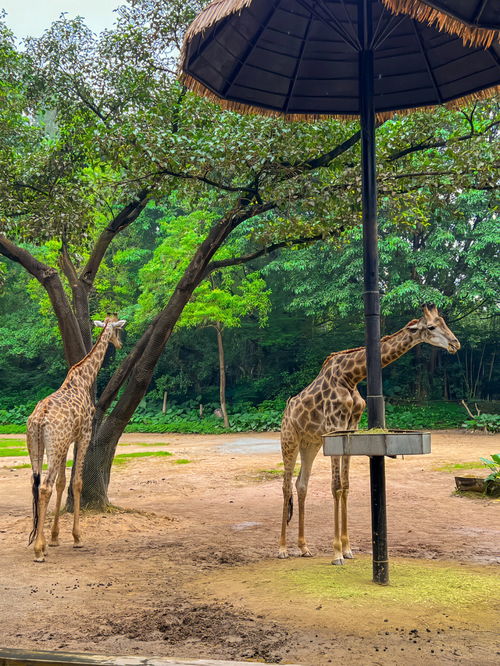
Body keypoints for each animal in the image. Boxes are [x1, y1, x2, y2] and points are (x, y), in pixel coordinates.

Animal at [26, 314, 127, 556]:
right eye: (118, 330)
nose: (120, 344)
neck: (84, 379)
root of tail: (39, 420)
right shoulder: (84, 435)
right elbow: (77, 482)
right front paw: (77, 537)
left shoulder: (67, 442)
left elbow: (63, 483)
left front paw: (54, 538)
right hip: (54, 446)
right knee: (45, 486)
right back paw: (39, 550)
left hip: (38, 446)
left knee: (36, 483)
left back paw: (38, 542)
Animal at [280, 304, 458, 564]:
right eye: (432, 326)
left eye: (443, 322)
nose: (456, 344)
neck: (351, 376)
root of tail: (286, 411)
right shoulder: (334, 427)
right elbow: (335, 486)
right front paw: (336, 553)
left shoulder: (349, 429)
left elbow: (345, 485)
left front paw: (347, 549)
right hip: (289, 440)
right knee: (285, 486)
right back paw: (282, 548)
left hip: (310, 443)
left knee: (301, 484)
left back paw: (303, 547)